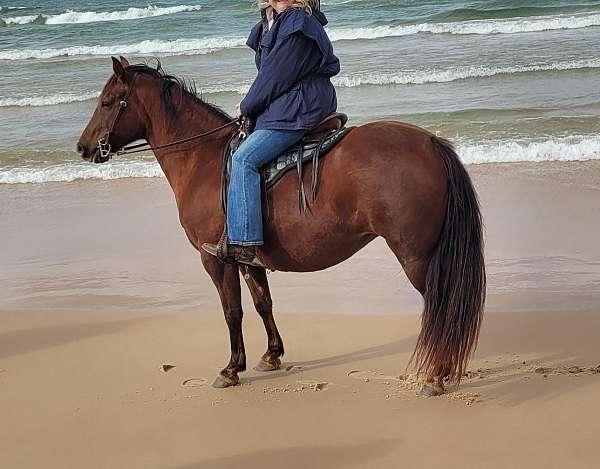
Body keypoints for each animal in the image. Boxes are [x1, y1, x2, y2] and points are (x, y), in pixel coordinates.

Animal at [77, 57, 486, 394]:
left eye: (108, 102)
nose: (82, 147)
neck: (204, 161)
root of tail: (430, 143)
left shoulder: (215, 260)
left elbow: (232, 312)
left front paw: (230, 369)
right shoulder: (247, 258)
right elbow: (263, 303)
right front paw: (271, 356)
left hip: (416, 256)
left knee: (441, 304)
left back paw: (435, 375)